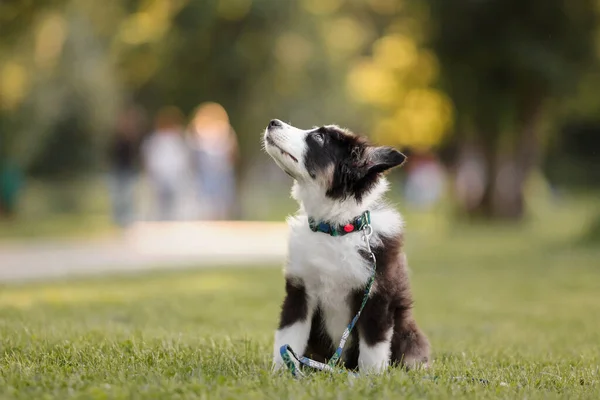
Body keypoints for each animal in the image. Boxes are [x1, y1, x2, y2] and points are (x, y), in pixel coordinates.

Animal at [264, 119, 428, 376]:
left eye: (319, 138)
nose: (273, 122)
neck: (336, 228)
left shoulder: (377, 296)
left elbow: (373, 348)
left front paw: (371, 377)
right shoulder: (300, 290)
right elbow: (288, 337)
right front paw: (282, 374)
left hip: (409, 336)